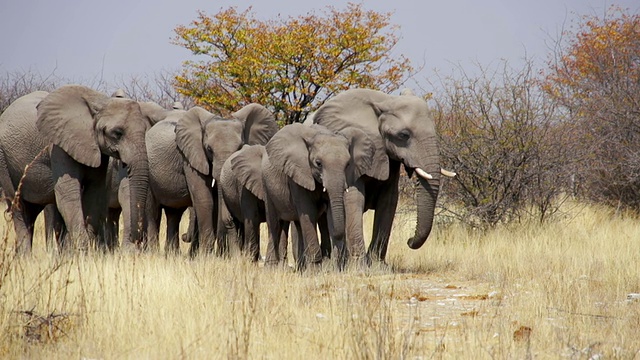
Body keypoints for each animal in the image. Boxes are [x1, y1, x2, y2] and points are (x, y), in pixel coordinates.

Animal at [0, 85, 162, 252]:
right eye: (117, 133)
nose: (138, 240)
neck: (100, 102)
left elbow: (94, 191)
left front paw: (88, 250)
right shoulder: (59, 144)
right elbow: (68, 192)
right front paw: (83, 251)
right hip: (4, 160)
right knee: (18, 207)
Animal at [260, 122, 376, 268]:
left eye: (348, 164)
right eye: (318, 163)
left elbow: (330, 212)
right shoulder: (298, 173)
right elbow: (308, 211)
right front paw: (315, 269)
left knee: (299, 224)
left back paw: (302, 268)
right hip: (266, 186)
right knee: (275, 225)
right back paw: (271, 267)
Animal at [312, 88, 456, 262]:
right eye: (404, 135)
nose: (409, 240)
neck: (385, 101)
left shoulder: (390, 160)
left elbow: (389, 200)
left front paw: (377, 263)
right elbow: (353, 198)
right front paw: (359, 265)